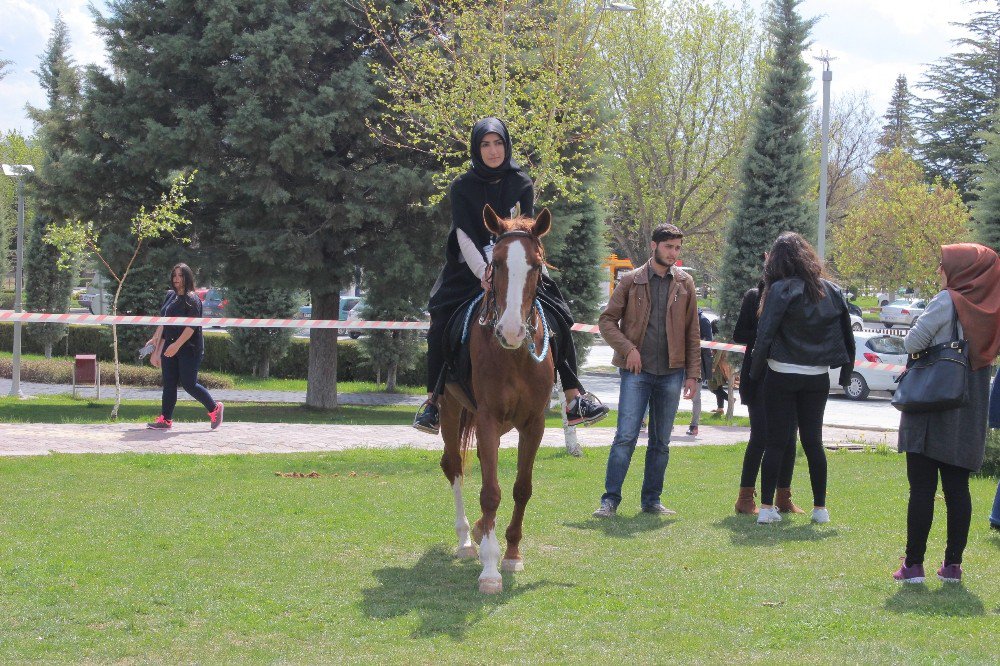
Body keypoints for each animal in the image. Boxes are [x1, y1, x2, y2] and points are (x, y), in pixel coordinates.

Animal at [440, 202, 560, 592]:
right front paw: (490, 569)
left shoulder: (533, 424)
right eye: (497, 263)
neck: (514, 356)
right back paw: (467, 538)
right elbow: (490, 491)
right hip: (450, 410)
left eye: (536, 265)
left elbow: (522, 488)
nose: (510, 330)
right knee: (455, 466)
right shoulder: (488, 418)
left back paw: (479, 531)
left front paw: (511, 554)